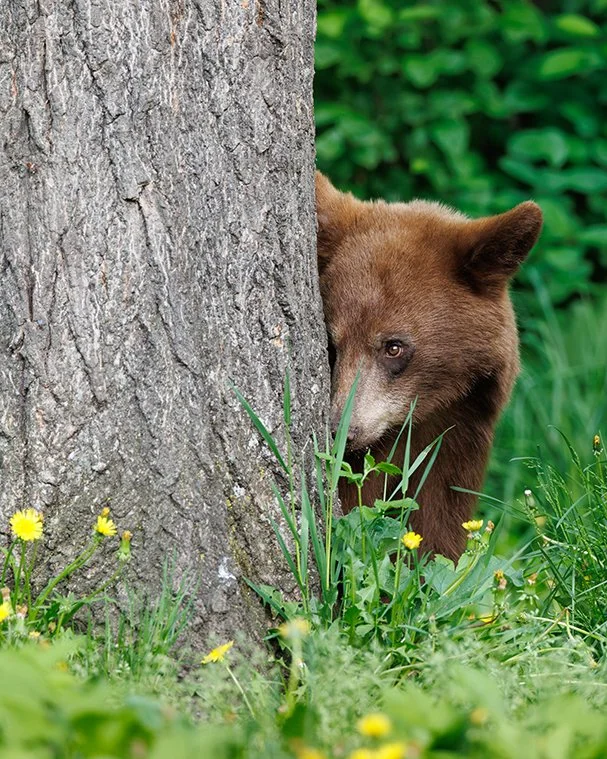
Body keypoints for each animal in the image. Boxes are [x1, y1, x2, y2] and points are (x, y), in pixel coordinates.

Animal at [316, 171, 543, 560]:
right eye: (332, 344)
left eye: (393, 347)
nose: (341, 431)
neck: (412, 425)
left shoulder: (459, 434)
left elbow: (440, 523)